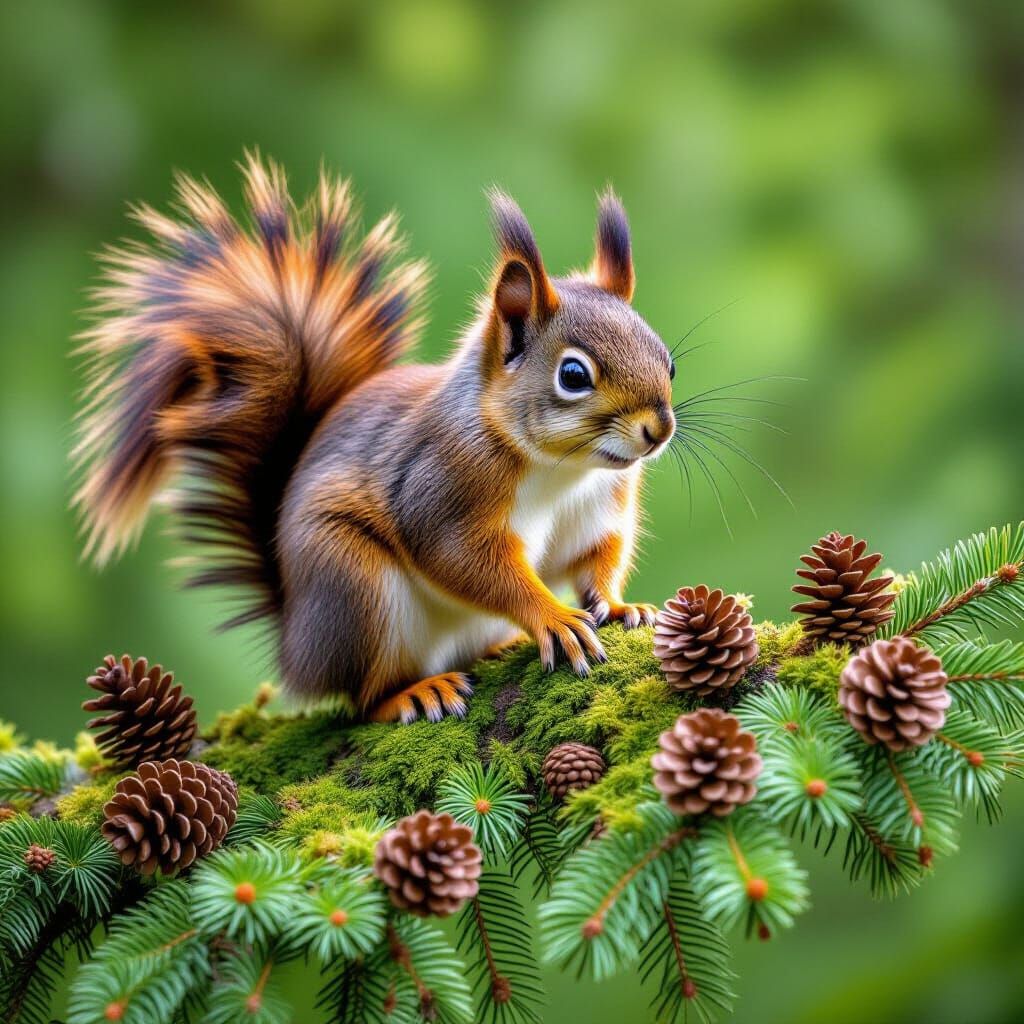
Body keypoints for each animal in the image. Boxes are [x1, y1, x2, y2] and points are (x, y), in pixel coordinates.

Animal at [74, 153, 676, 723]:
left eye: (667, 358)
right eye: (573, 375)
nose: (659, 429)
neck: (562, 469)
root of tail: (296, 647)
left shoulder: (599, 508)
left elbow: (595, 558)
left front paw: (619, 607)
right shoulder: (442, 491)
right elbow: (467, 562)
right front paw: (553, 618)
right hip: (355, 588)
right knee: (363, 698)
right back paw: (415, 692)